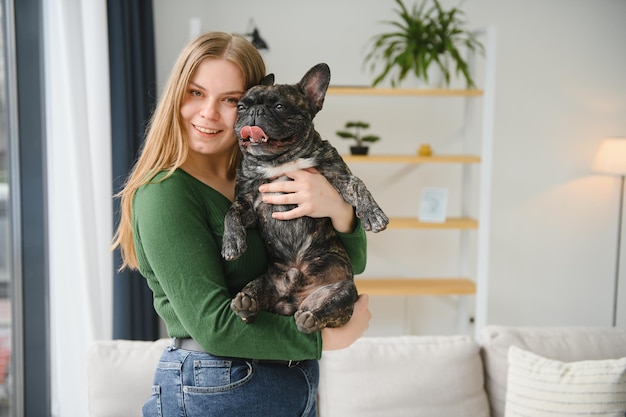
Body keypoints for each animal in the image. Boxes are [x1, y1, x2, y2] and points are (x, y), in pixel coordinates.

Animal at [219, 63, 386, 334]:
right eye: (241, 107)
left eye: (279, 106)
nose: (255, 111)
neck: (279, 161)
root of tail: (292, 300)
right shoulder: (250, 204)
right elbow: (232, 211)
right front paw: (232, 242)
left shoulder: (337, 174)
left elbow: (357, 184)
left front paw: (373, 214)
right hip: (267, 283)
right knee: (254, 300)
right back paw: (246, 303)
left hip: (343, 289)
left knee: (327, 309)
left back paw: (311, 317)